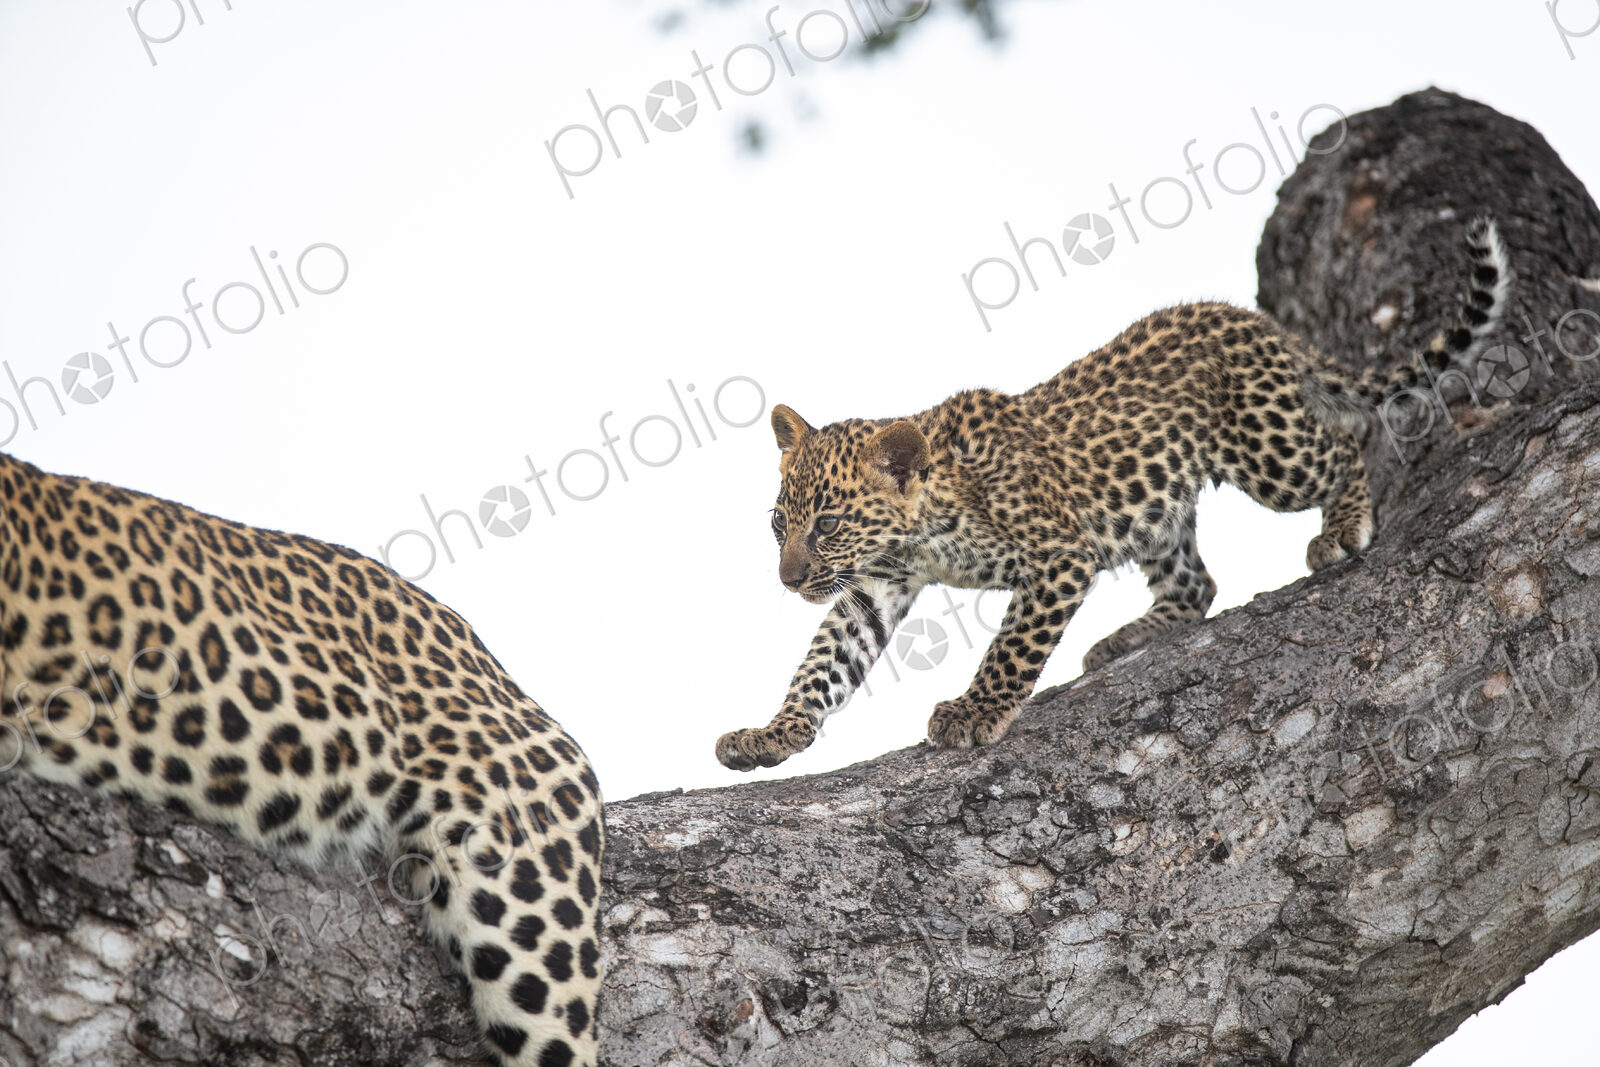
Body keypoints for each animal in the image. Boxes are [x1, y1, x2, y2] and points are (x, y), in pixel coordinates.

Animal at [716, 217, 1510, 771]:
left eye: (828, 524)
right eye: (779, 523)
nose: (788, 578)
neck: (927, 524)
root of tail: (1251, 321)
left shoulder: (1057, 557)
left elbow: (1010, 648)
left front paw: (973, 712)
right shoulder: (874, 588)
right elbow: (824, 664)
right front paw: (772, 733)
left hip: (1269, 454)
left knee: (1345, 441)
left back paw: (1341, 524)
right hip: (1157, 510)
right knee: (1196, 584)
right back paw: (1127, 637)